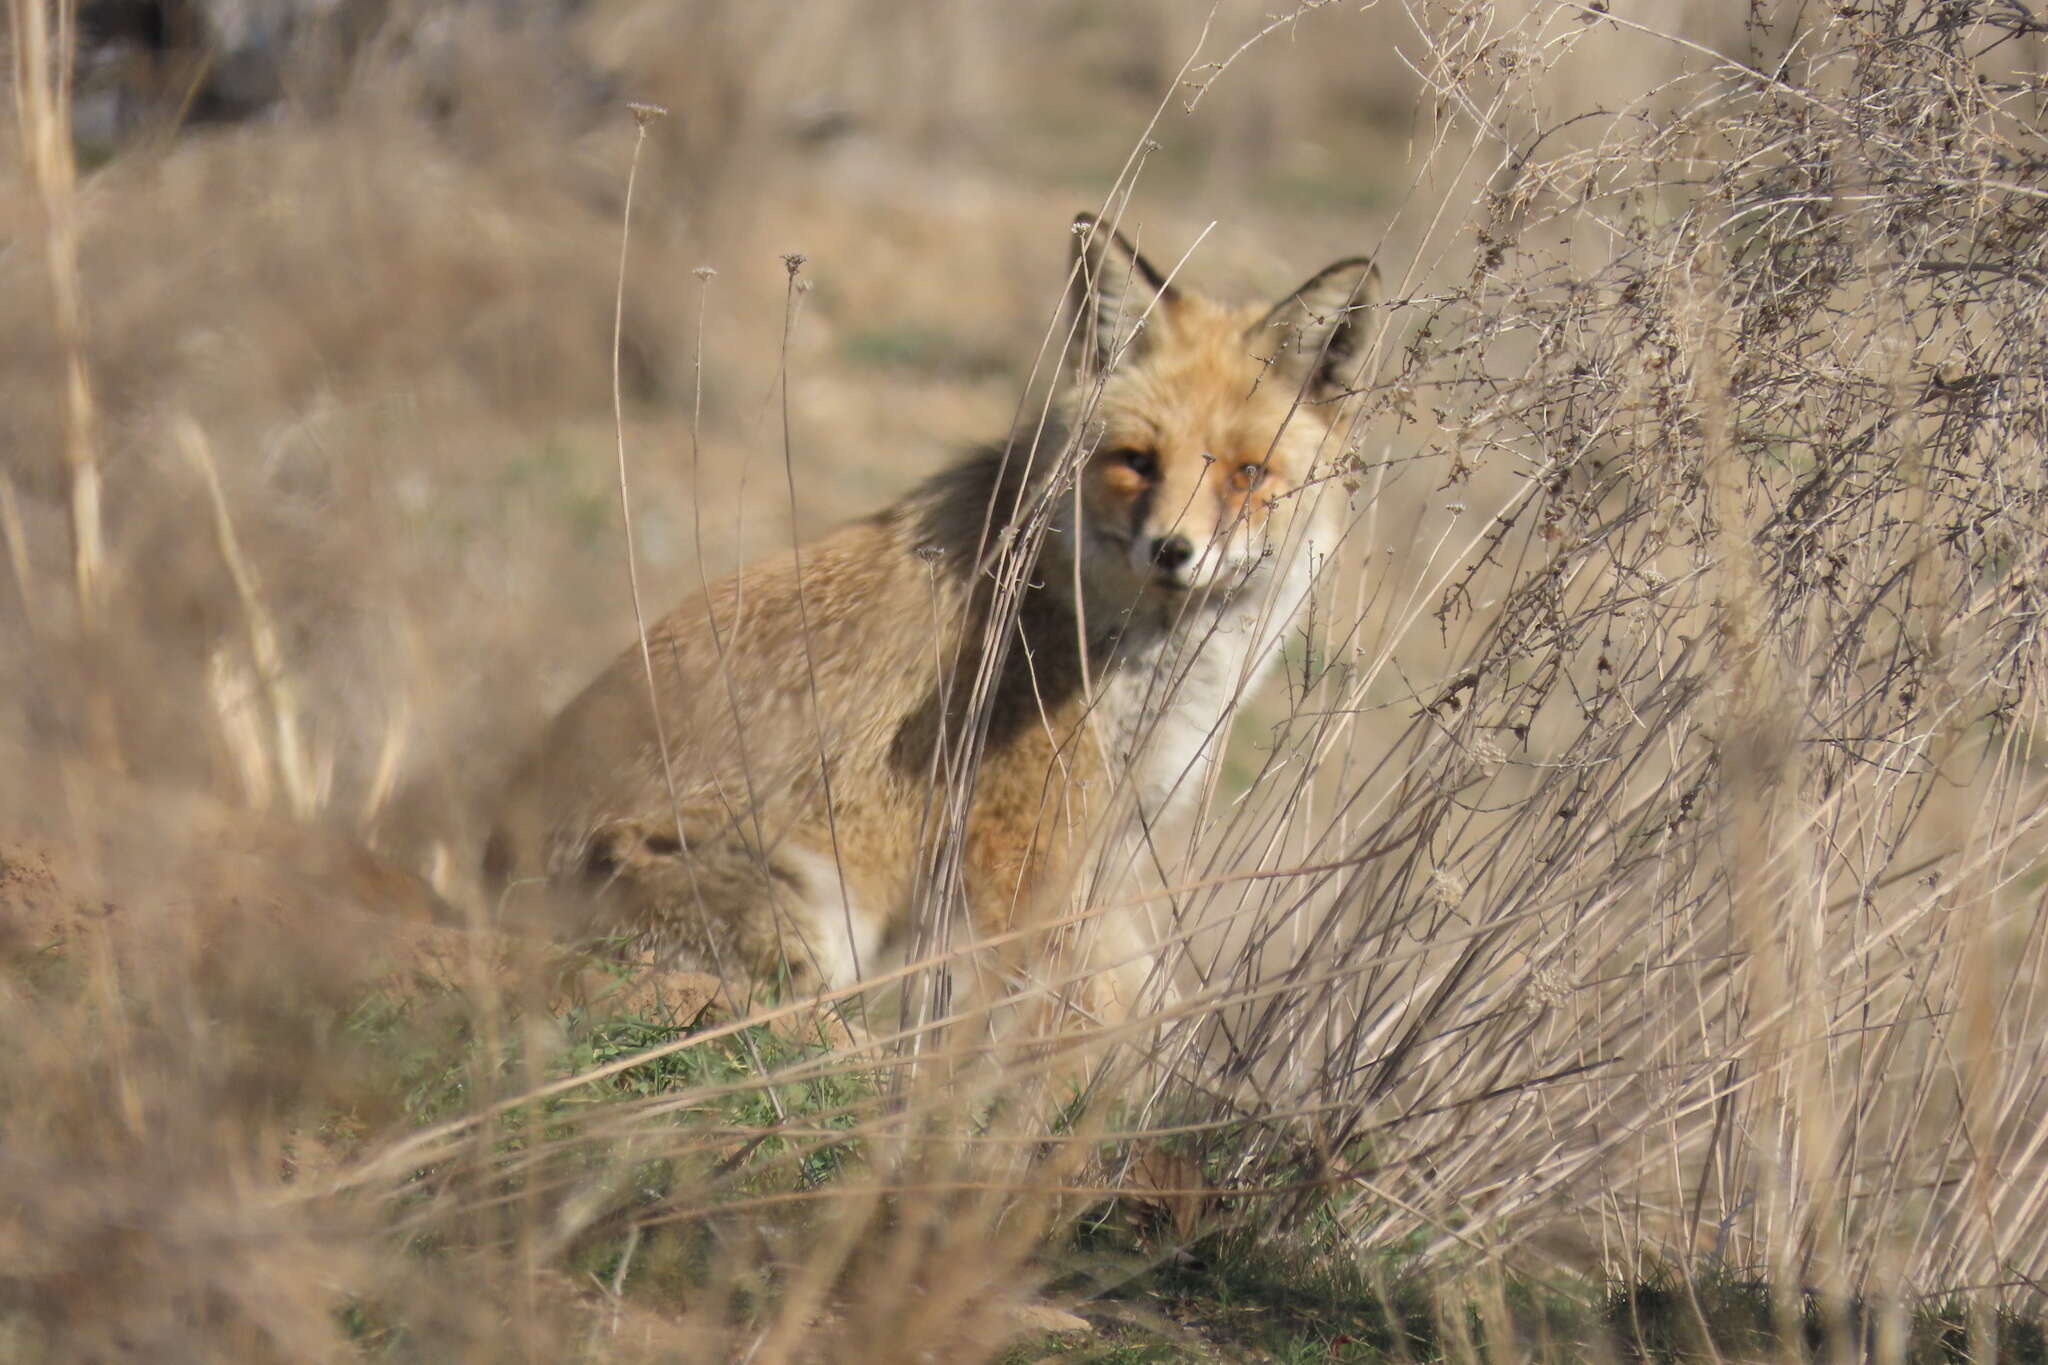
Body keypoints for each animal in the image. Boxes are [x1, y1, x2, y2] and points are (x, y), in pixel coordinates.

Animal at [483, 213, 1376, 1002]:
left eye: (1247, 474)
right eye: (1137, 461)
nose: (1171, 551)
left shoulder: (1106, 857)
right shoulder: (1019, 847)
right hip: (813, 916)